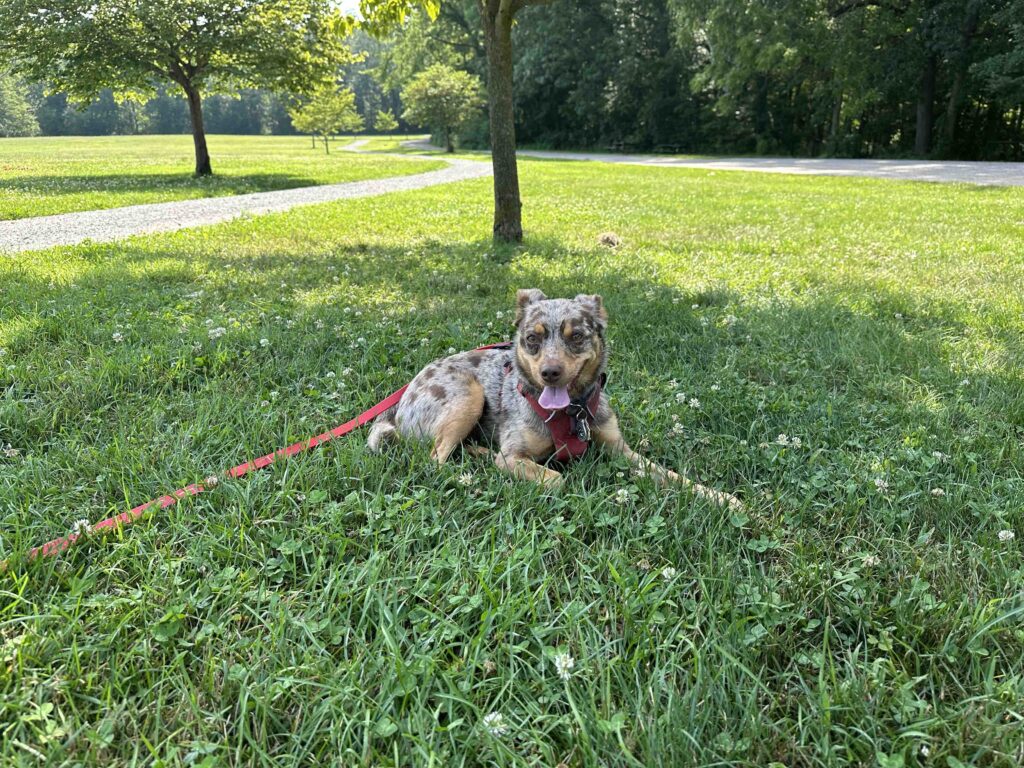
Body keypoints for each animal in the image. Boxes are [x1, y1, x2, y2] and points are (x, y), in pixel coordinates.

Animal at [368, 290, 745, 512]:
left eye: (576, 336)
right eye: (532, 339)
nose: (550, 372)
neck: (570, 412)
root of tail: (398, 405)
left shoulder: (621, 450)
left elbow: (673, 476)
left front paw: (725, 499)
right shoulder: (515, 456)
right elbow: (557, 480)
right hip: (468, 395)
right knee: (436, 459)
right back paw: (477, 464)